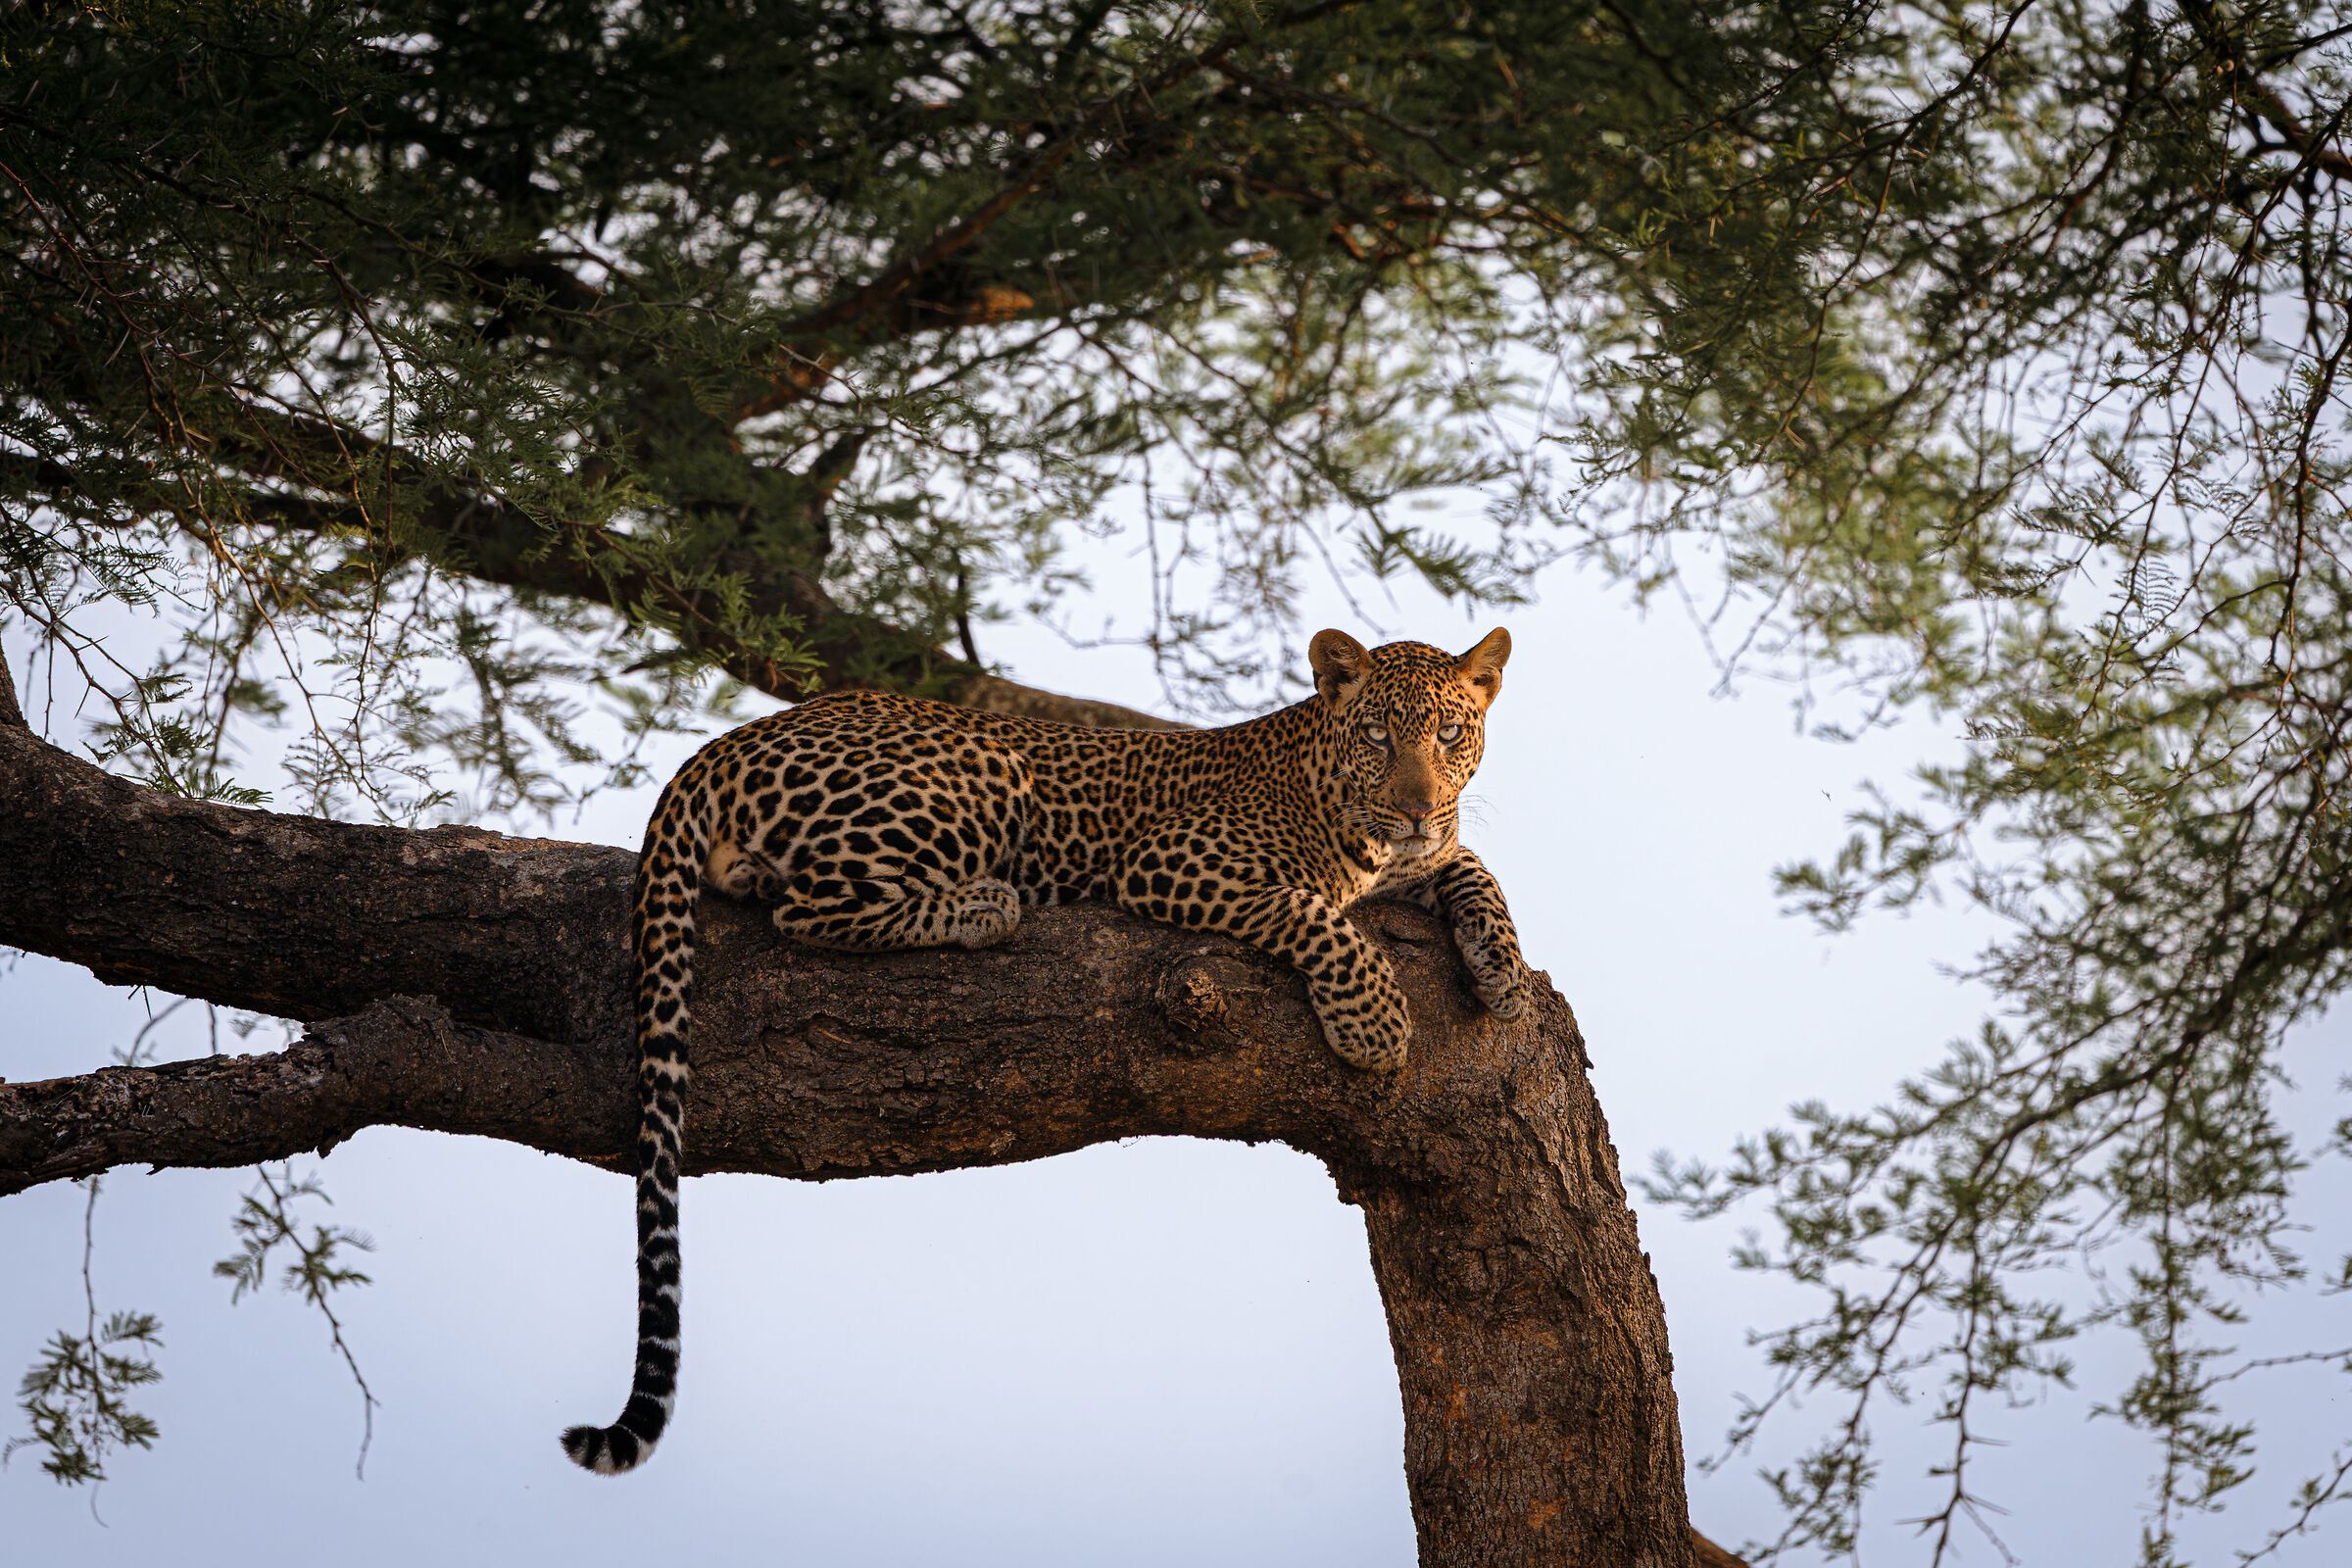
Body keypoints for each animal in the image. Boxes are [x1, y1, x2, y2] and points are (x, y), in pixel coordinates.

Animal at [560, 627, 1532, 1475]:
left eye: (1449, 733)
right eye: (1376, 735)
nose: (1415, 806)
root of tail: (723, 744)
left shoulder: (1422, 856)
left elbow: (1474, 868)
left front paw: (1507, 977)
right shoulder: (1177, 863)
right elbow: (1313, 912)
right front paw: (1373, 1021)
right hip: (980, 776)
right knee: (811, 909)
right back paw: (982, 905)